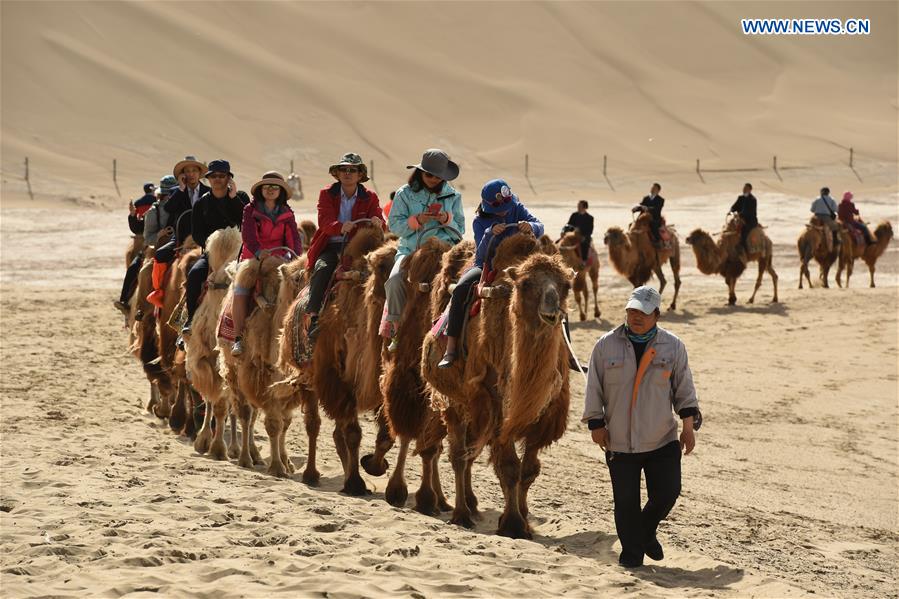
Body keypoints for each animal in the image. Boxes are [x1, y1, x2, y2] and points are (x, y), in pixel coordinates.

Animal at [274, 225, 394, 492]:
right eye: (384, 266)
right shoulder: (336, 378)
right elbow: (352, 433)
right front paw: (356, 483)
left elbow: (385, 434)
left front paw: (373, 466)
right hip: (311, 375)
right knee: (314, 425)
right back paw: (311, 474)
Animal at [424, 234, 576, 540]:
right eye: (526, 284)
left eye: (566, 286)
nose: (551, 312)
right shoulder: (495, 407)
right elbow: (509, 468)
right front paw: (514, 524)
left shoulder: (542, 416)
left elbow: (529, 470)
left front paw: (524, 517)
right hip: (454, 399)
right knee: (458, 455)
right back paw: (461, 514)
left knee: (468, 454)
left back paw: (471, 505)